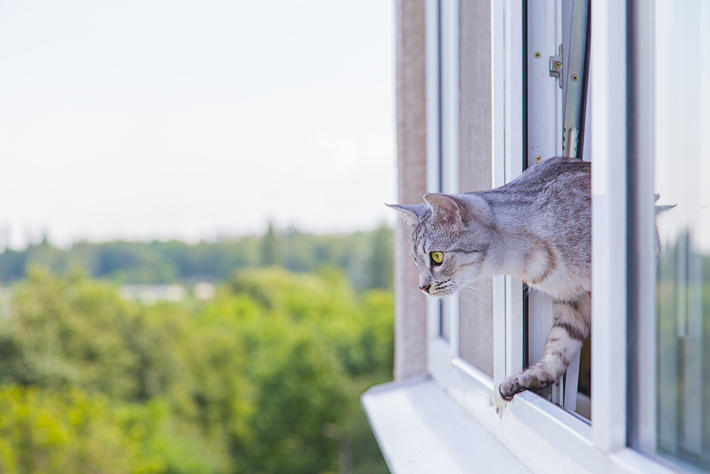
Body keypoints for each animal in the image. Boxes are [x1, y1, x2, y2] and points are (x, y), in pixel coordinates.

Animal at [386, 157, 592, 402]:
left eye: (436, 257)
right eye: (415, 261)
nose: (422, 287)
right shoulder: (572, 301)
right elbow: (558, 345)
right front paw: (527, 378)